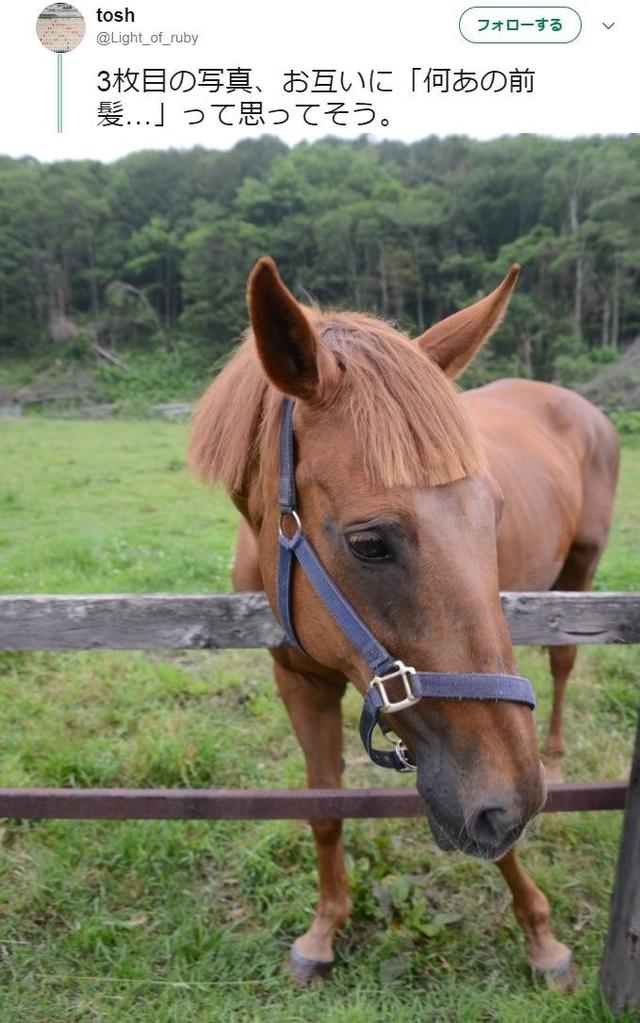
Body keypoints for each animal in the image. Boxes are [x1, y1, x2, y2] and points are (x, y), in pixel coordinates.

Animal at [188, 255, 617, 982]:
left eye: (494, 512)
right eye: (368, 542)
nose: (519, 799)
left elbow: (494, 839)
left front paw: (541, 934)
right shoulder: (301, 679)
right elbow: (324, 810)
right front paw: (324, 929)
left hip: (580, 570)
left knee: (562, 662)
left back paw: (557, 760)